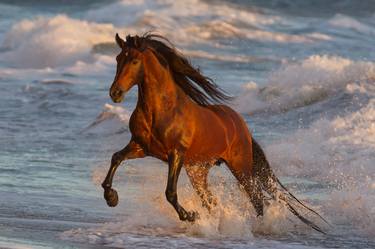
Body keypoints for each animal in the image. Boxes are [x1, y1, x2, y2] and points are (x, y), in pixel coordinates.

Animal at [101, 33, 328, 233]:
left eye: (134, 61)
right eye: (118, 58)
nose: (115, 93)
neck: (162, 110)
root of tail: (241, 125)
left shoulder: (176, 153)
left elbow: (170, 192)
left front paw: (191, 216)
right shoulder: (140, 147)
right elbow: (116, 158)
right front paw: (111, 197)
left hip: (240, 168)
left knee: (256, 198)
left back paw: (255, 227)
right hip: (198, 172)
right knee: (212, 201)